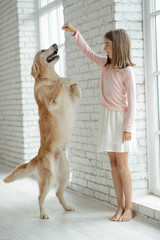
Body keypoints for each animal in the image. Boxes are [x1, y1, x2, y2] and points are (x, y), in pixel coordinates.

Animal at [3, 43, 81, 219]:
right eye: (42, 51)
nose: (55, 44)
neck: (48, 78)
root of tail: (38, 156)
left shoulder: (71, 100)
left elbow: (73, 90)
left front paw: (76, 87)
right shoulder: (51, 100)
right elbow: (61, 81)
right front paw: (67, 79)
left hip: (65, 172)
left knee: (58, 193)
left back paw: (67, 207)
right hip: (48, 177)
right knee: (40, 197)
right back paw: (44, 213)